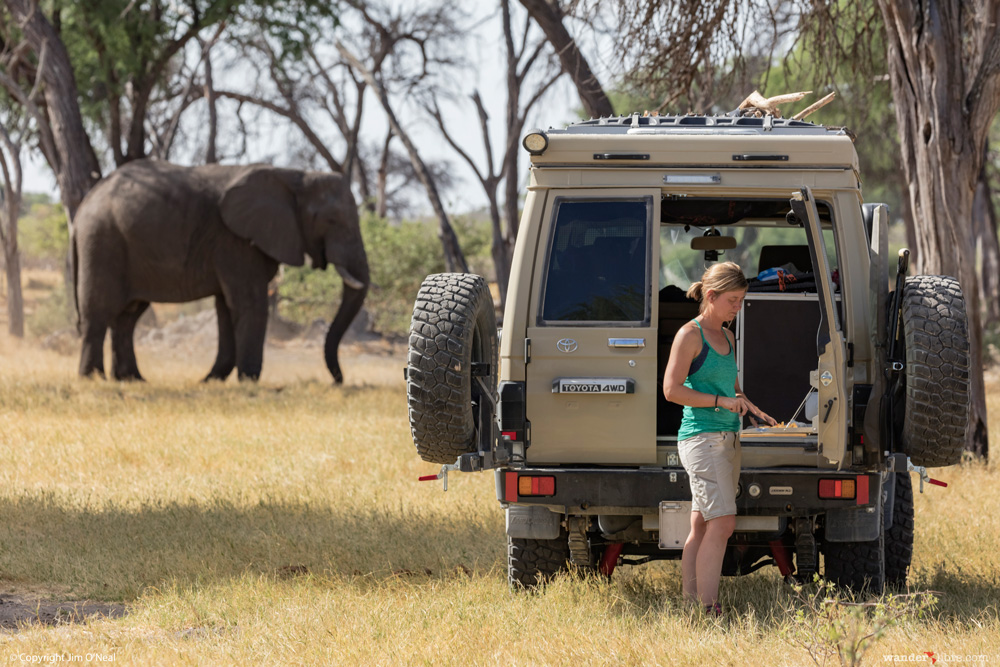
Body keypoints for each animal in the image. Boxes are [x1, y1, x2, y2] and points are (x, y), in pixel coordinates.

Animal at [71, 159, 368, 384]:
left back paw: (132, 379)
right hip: (101, 242)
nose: (337, 381)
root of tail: (83, 207)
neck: (294, 176)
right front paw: (248, 380)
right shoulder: (235, 240)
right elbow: (248, 303)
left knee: (127, 317)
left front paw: (212, 380)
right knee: (98, 311)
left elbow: (226, 307)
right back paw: (92, 378)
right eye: (331, 221)